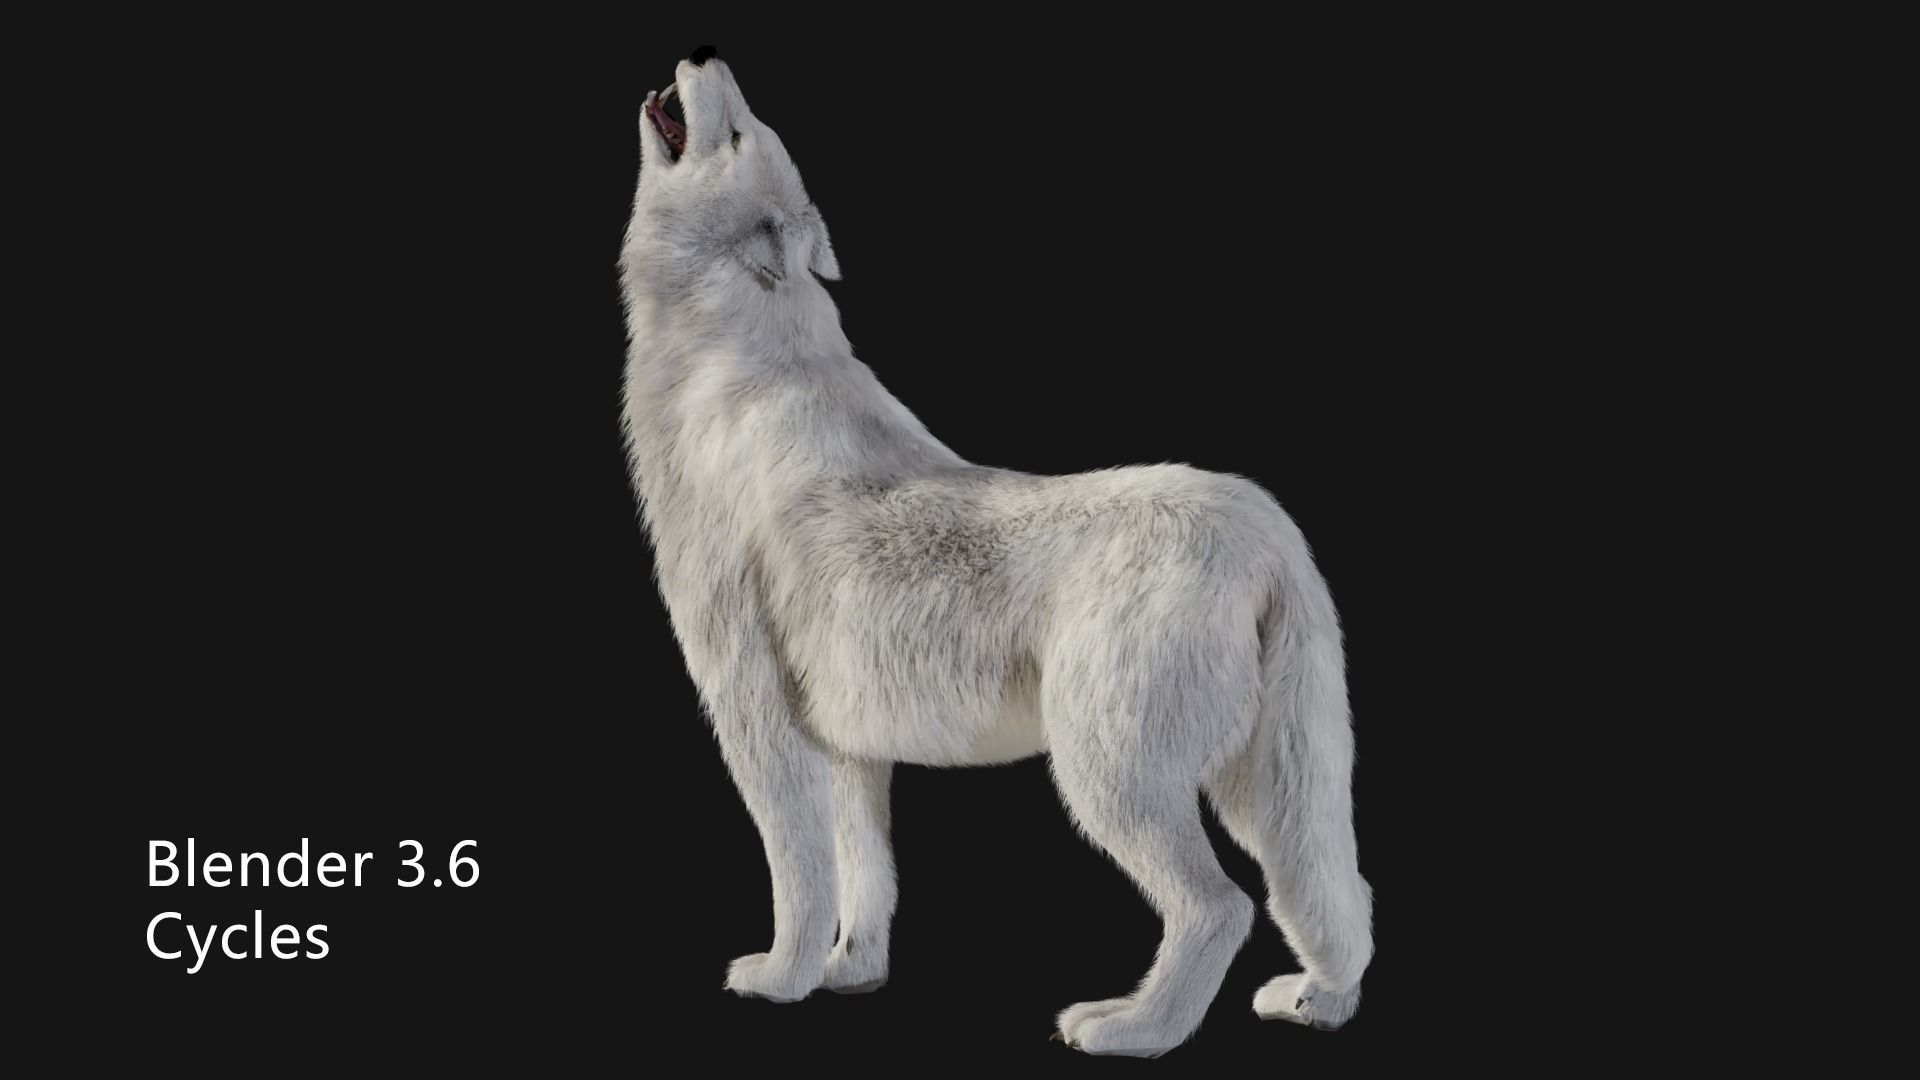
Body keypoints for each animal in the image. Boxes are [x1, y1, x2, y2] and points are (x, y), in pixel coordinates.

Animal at [620, 47, 1372, 1056]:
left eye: (737, 130)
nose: (704, 54)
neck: (722, 362)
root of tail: (1268, 531)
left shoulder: (759, 722)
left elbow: (801, 874)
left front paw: (780, 981)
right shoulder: (850, 747)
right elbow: (867, 875)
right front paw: (850, 975)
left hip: (1110, 780)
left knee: (1220, 907)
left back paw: (1129, 1028)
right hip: (1261, 788)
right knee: (1337, 891)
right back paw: (1315, 1000)